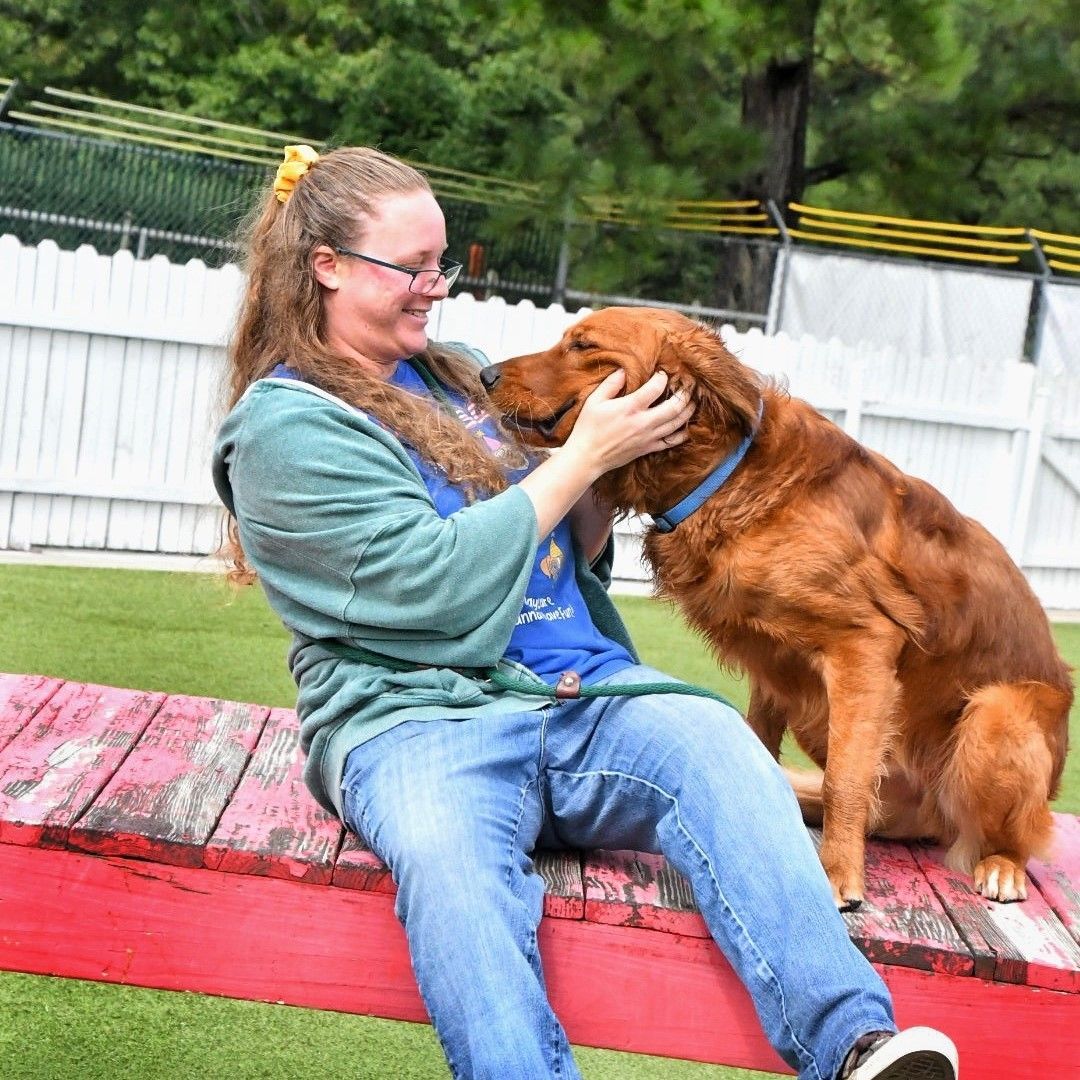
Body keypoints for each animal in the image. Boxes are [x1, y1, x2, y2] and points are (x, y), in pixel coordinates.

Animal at [483, 308, 1071, 907]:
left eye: (583, 346)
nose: (486, 377)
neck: (725, 475)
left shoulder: (863, 643)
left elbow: (844, 780)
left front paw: (838, 874)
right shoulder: (773, 663)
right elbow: (760, 748)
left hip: (996, 714)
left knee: (1016, 831)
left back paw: (1001, 865)